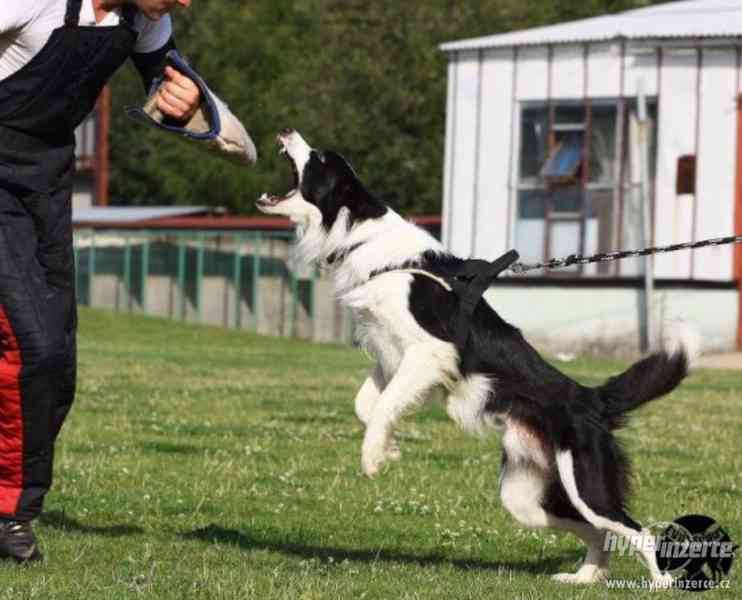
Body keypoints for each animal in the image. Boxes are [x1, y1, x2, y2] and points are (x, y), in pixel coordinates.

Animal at [258, 130, 696, 584]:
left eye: (321, 158)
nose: (287, 132)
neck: (363, 237)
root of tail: (591, 398)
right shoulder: (391, 356)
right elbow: (368, 406)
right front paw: (389, 447)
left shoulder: (430, 351)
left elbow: (380, 408)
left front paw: (373, 458)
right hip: (525, 498)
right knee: (597, 531)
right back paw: (583, 579)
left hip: (586, 481)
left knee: (637, 530)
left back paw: (660, 584)